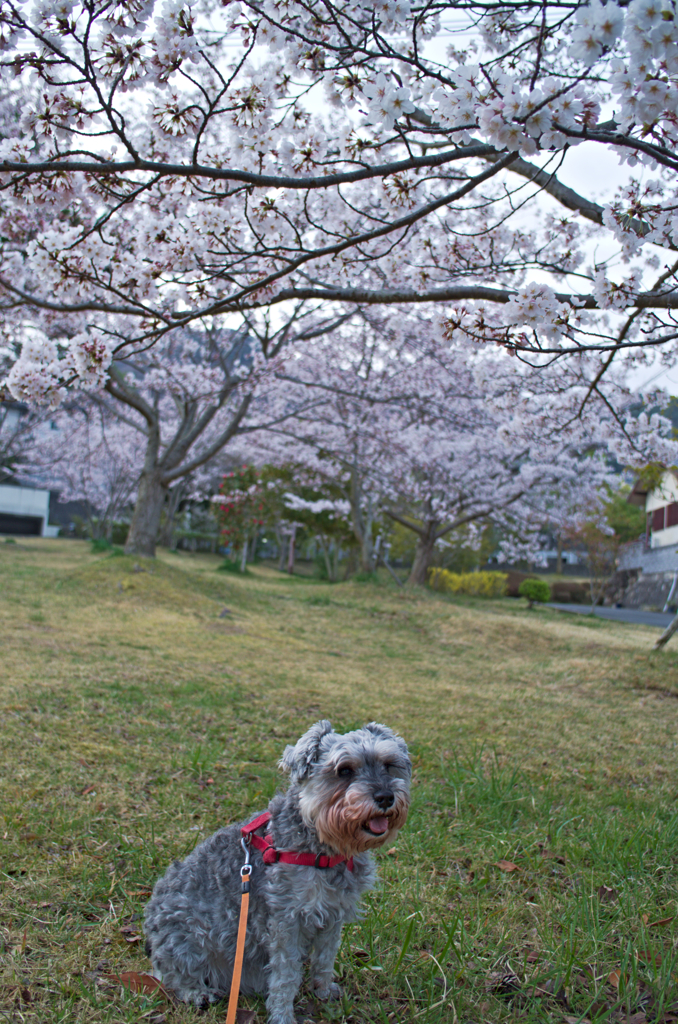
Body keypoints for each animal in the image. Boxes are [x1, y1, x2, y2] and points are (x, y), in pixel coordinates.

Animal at [144, 720, 409, 1024]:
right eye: (344, 770)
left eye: (388, 764)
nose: (385, 797)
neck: (322, 847)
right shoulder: (286, 922)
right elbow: (285, 975)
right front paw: (283, 1015)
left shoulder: (332, 915)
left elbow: (325, 958)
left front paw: (323, 991)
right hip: (187, 939)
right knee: (172, 974)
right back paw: (196, 993)